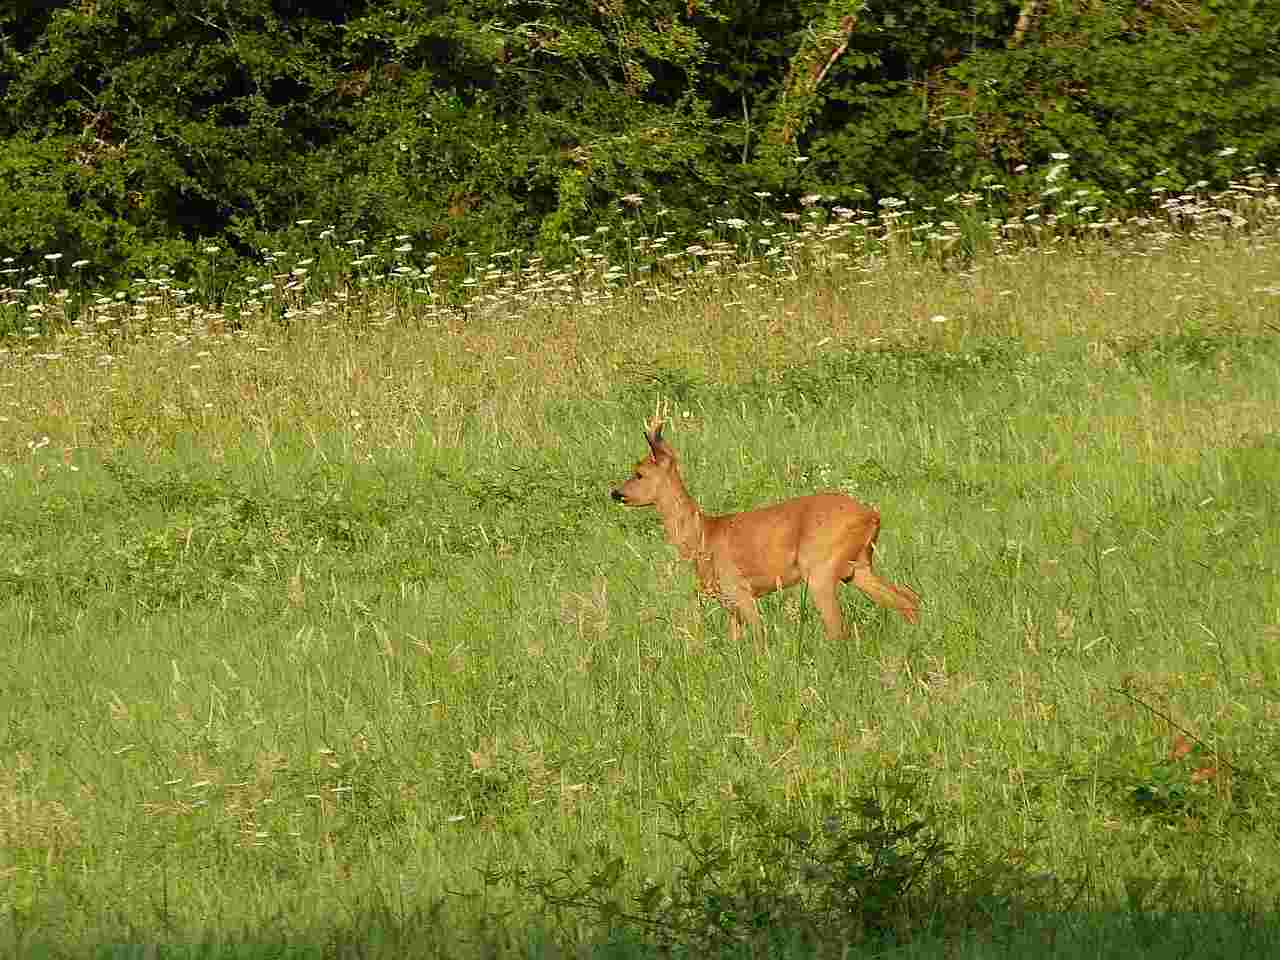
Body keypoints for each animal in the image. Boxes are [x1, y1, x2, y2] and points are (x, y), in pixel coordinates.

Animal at [611, 419, 921, 640]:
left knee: (838, 629)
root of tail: (872, 515)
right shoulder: (729, 604)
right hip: (857, 568)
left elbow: (760, 638)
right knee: (908, 598)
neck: (704, 537)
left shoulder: (740, 589)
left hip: (820, 569)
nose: (616, 493)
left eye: (639, 473)